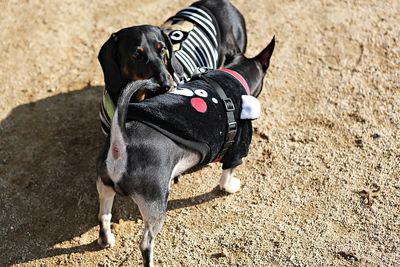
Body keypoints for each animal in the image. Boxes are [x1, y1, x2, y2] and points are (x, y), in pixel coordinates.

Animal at [96, 37, 276, 267]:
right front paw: (231, 186)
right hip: (156, 205)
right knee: (145, 244)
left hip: (105, 186)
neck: (233, 75)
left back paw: (107, 240)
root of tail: (121, 143)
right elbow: (227, 176)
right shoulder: (238, 149)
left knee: (104, 217)